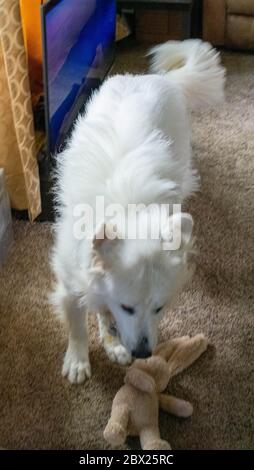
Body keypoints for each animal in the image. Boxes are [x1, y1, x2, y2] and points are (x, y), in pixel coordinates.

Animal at [51, 40, 224, 384]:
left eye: (159, 308)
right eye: (128, 307)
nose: (144, 353)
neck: (129, 211)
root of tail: (160, 79)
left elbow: (102, 311)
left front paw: (112, 343)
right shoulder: (70, 278)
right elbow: (77, 321)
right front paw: (78, 360)